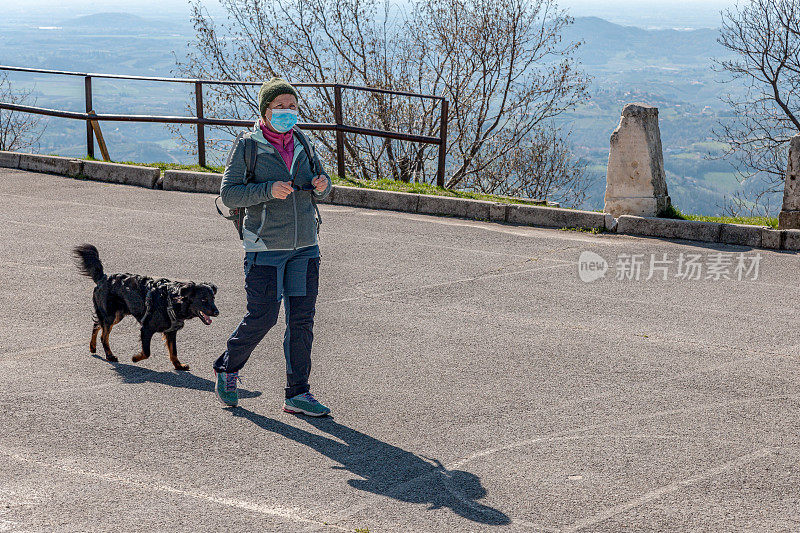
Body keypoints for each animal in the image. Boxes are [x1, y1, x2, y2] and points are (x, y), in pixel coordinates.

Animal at [72, 242, 219, 370]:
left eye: (213, 298)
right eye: (204, 299)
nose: (217, 312)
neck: (171, 301)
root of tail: (102, 277)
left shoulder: (171, 332)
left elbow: (174, 351)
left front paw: (178, 365)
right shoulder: (147, 328)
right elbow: (147, 352)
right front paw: (135, 358)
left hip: (116, 315)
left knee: (97, 325)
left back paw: (92, 346)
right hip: (110, 315)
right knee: (104, 336)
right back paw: (109, 355)